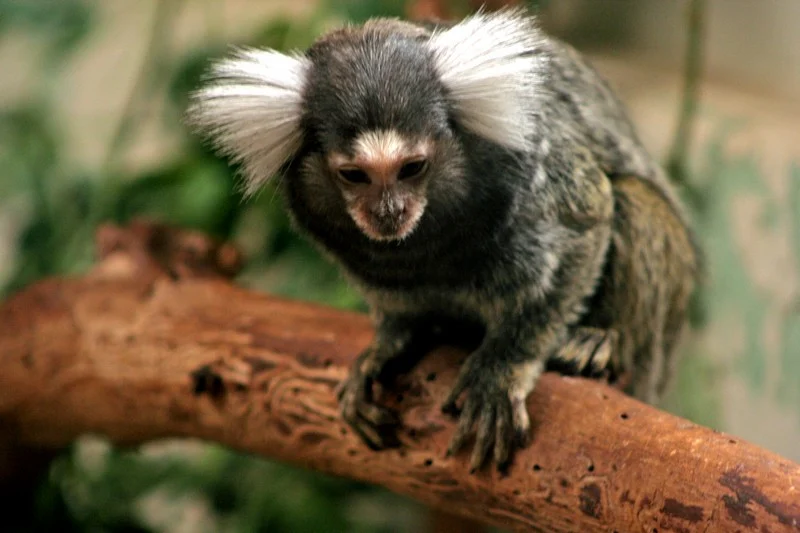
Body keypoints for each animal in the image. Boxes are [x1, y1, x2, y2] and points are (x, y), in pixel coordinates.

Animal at [186, 8, 699, 473]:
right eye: (354, 175)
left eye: (412, 168)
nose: (389, 212)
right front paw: (390, 342)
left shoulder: (536, 173)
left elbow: (584, 227)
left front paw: (502, 367)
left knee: (634, 200)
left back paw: (601, 341)